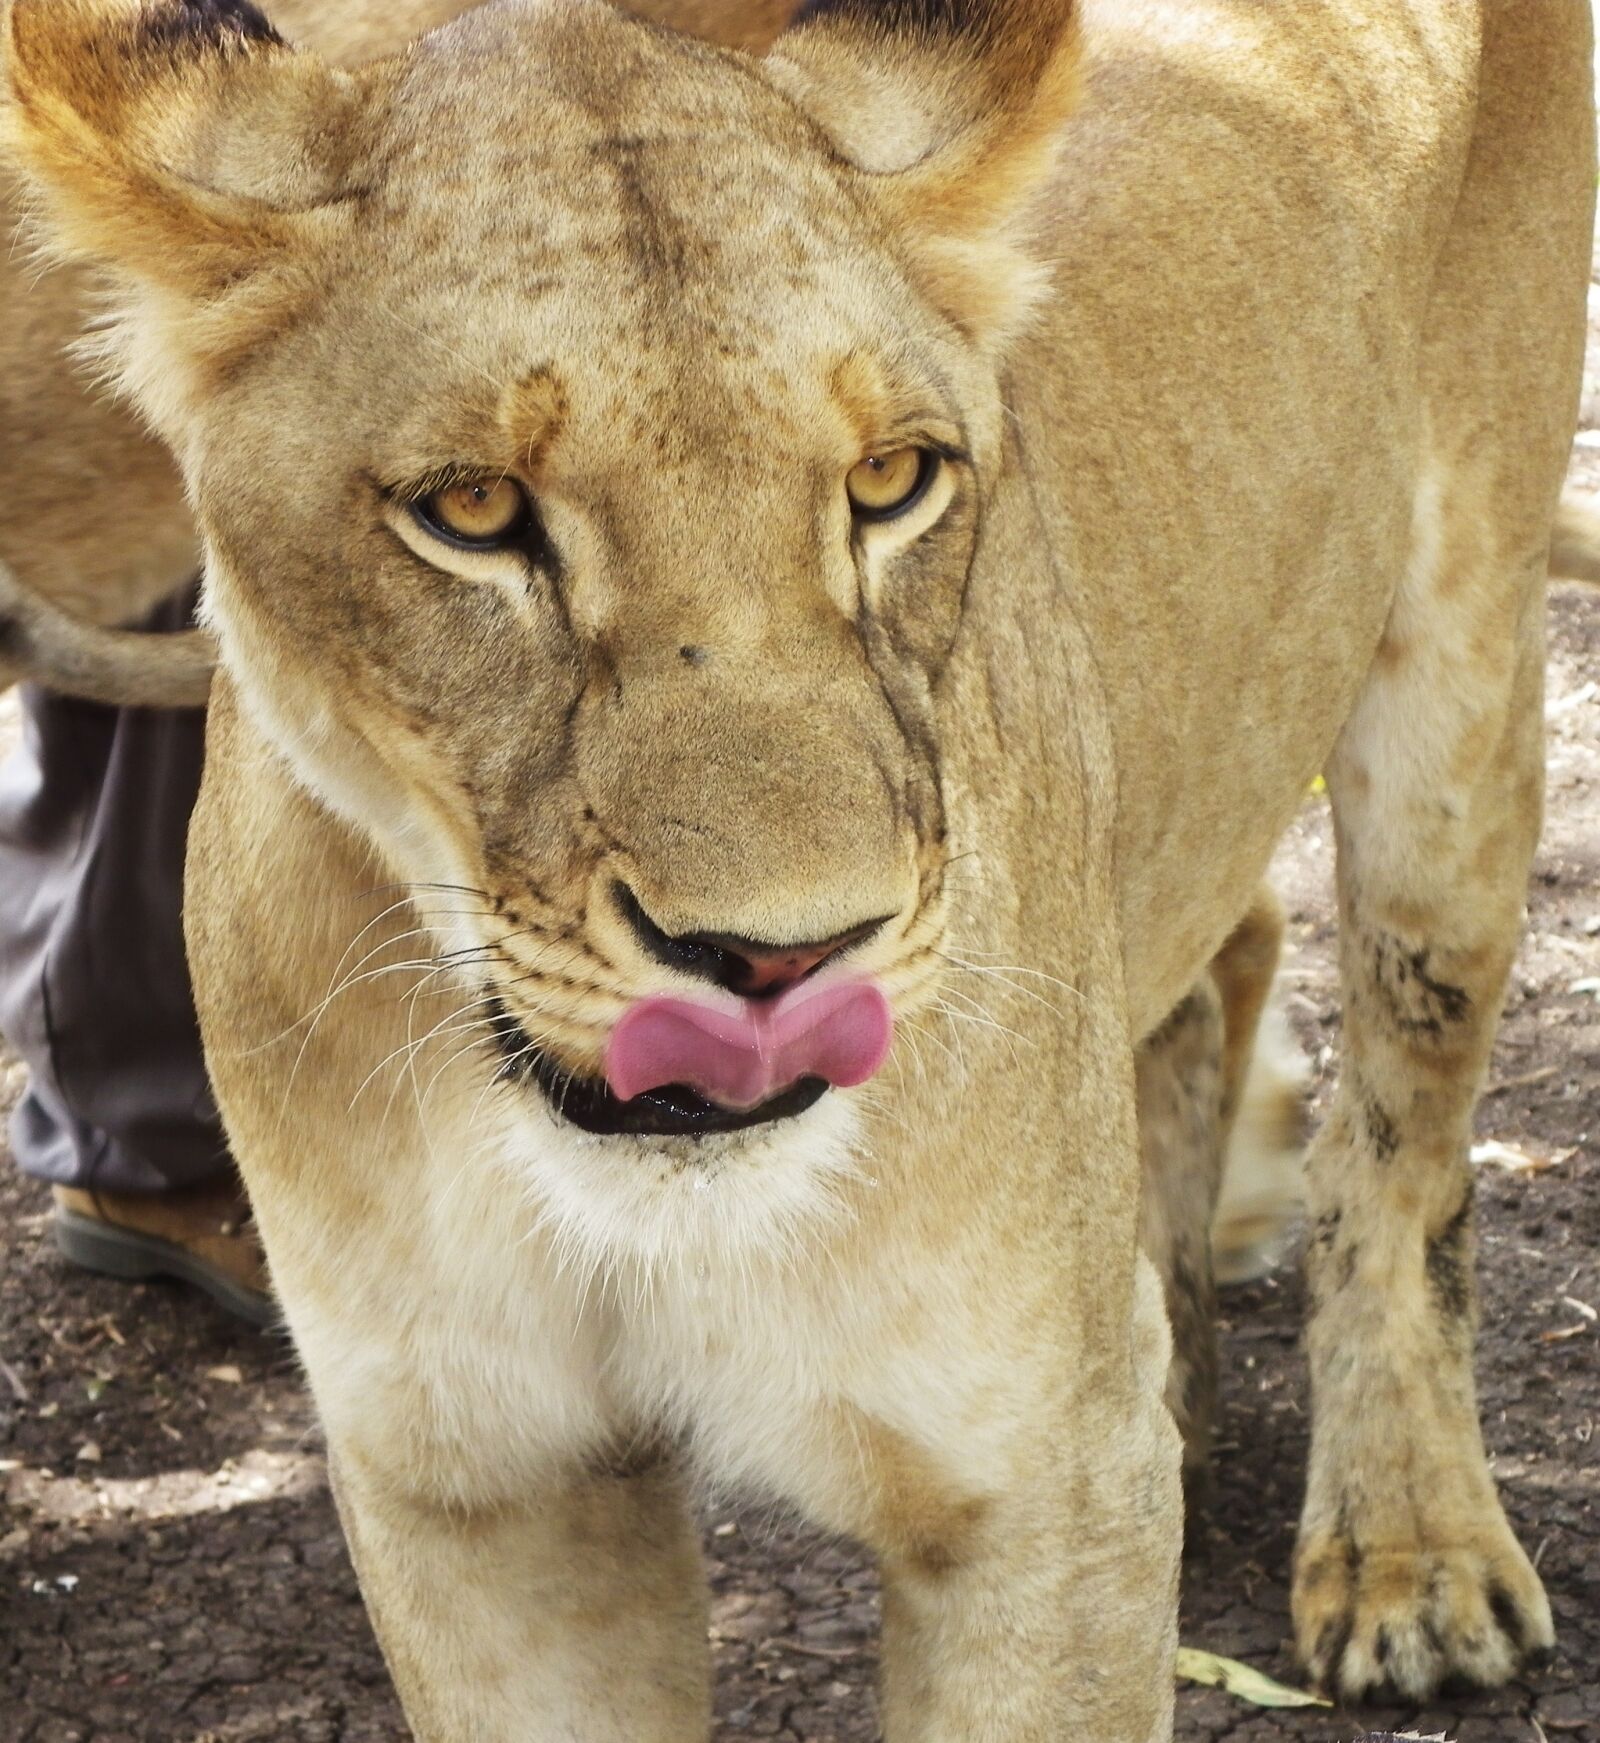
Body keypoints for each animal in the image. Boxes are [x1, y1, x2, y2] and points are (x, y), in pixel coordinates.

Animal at [2, 0, 1591, 1738]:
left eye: (891, 480)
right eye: (472, 510)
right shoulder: (478, 1489)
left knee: (1397, 1147)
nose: (780, 960)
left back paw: (1410, 1555)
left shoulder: (1046, 1491)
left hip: (1459, 703)